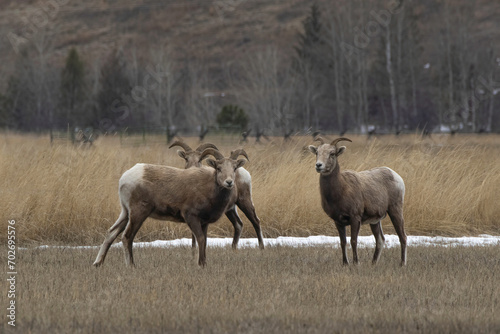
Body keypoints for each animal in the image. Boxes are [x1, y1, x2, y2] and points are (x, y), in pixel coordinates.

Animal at [92, 148, 248, 266]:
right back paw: (131, 265)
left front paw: (203, 263)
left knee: (111, 233)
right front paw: (200, 265)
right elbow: (200, 240)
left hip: (125, 213)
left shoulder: (204, 223)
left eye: (234, 168)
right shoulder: (191, 217)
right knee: (127, 237)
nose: (229, 182)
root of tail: (124, 178)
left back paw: (98, 264)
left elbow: (204, 241)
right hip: (138, 213)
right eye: (219, 168)